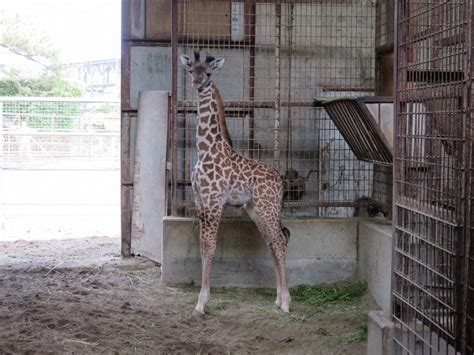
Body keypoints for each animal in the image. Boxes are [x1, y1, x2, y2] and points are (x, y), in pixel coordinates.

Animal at [180, 51, 290, 316]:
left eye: (209, 73)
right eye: (191, 70)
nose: (197, 84)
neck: (204, 150)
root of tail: (280, 181)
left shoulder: (213, 202)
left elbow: (210, 246)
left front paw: (201, 303)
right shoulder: (200, 201)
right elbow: (203, 246)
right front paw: (201, 301)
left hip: (267, 207)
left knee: (279, 241)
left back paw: (287, 303)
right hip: (256, 209)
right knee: (272, 242)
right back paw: (277, 299)